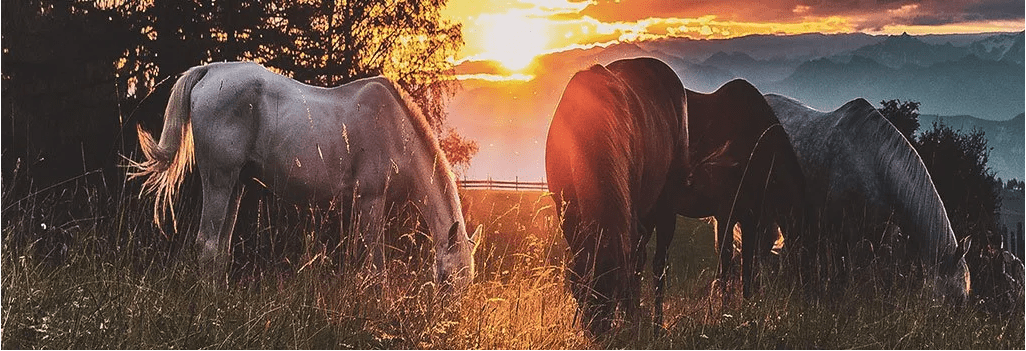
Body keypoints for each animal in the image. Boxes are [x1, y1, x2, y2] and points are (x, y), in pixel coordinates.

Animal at [130, 61, 478, 289]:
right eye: (447, 279)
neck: (395, 129)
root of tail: (211, 71)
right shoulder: (370, 201)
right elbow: (375, 266)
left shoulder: (358, 206)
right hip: (219, 180)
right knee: (209, 245)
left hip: (236, 185)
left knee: (221, 249)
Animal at [545, 57, 689, 336]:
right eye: (581, 290)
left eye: (613, 292)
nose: (597, 332)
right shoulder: (567, 213)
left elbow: (635, 267)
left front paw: (633, 318)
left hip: (666, 207)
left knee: (657, 266)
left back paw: (655, 325)